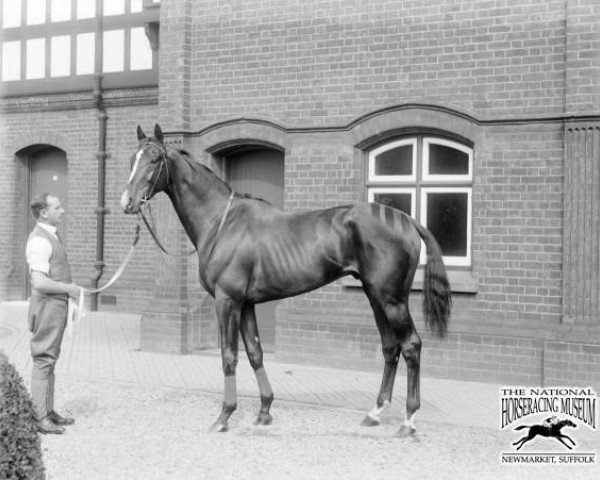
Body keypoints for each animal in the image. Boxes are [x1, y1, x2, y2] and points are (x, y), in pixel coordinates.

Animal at [122, 123, 450, 436]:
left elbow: (229, 356)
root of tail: (407, 220)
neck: (222, 223)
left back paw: (408, 421)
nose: (128, 201)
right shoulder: (246, 304)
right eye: (132, 157)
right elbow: (255, 352)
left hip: (392, 299)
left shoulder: (227, 301)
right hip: (374, 297)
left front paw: (224, 415)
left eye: (154, 158)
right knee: (390, 348)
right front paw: (264, 411)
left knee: (411, 346)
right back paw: (375, 413)